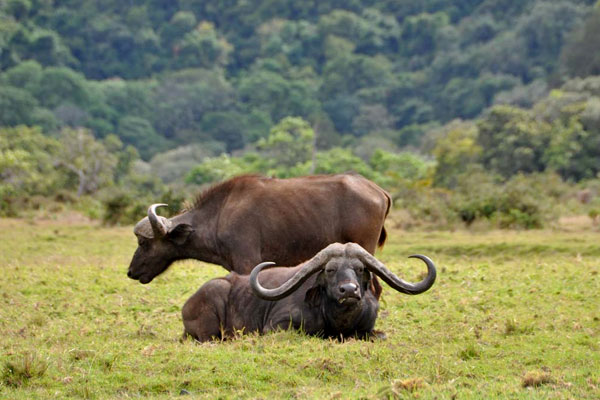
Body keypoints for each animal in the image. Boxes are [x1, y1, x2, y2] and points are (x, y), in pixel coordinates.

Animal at [179, 241, 436, 340]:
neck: (338, 321)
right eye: (330, 269)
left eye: (360, 268)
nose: (348, 291)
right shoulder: (276, 326)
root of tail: (186, 306)